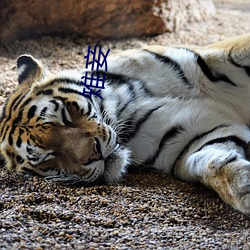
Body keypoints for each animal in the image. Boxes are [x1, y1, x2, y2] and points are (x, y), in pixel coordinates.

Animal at [0, 33, 250, 214]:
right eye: (48, 158)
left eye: (65, 115)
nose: (95, 153)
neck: (124, 106)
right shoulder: (187, 137)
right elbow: (211, 161)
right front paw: (243, 188)